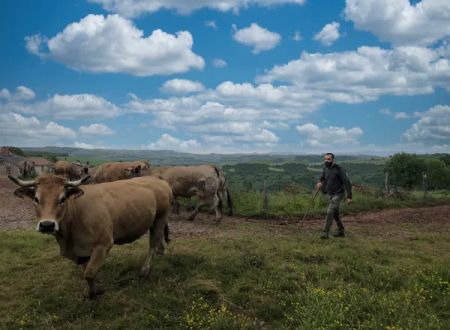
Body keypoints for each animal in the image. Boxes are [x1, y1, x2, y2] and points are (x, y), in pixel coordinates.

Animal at [9, 173, 174, 300]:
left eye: (62, 198)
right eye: (36, 199)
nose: (47, 225)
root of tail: (156, 178)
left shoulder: (103, 244)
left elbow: (89, 273)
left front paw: (94, 293)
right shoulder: (81, 251)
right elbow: (86, 271)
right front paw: (91, 290)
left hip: (160, 217)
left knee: (152, 244)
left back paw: (145, 271)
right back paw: (161, 251)